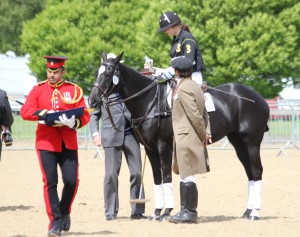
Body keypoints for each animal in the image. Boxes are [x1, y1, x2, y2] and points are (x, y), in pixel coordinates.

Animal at [88, 51, 270, 220]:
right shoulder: (149, 148)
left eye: (109, 73)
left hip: (252, 144)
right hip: (239, 143)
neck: (150, 101)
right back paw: (247, 211)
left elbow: (167, 175)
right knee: (250, 173)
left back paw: (255, 213)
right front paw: (156, 212)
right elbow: (157, 177)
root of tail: (258, 98)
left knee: (257, 171)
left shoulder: (164, 145)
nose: (92, 100)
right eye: (97, 72)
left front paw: (167, 212)